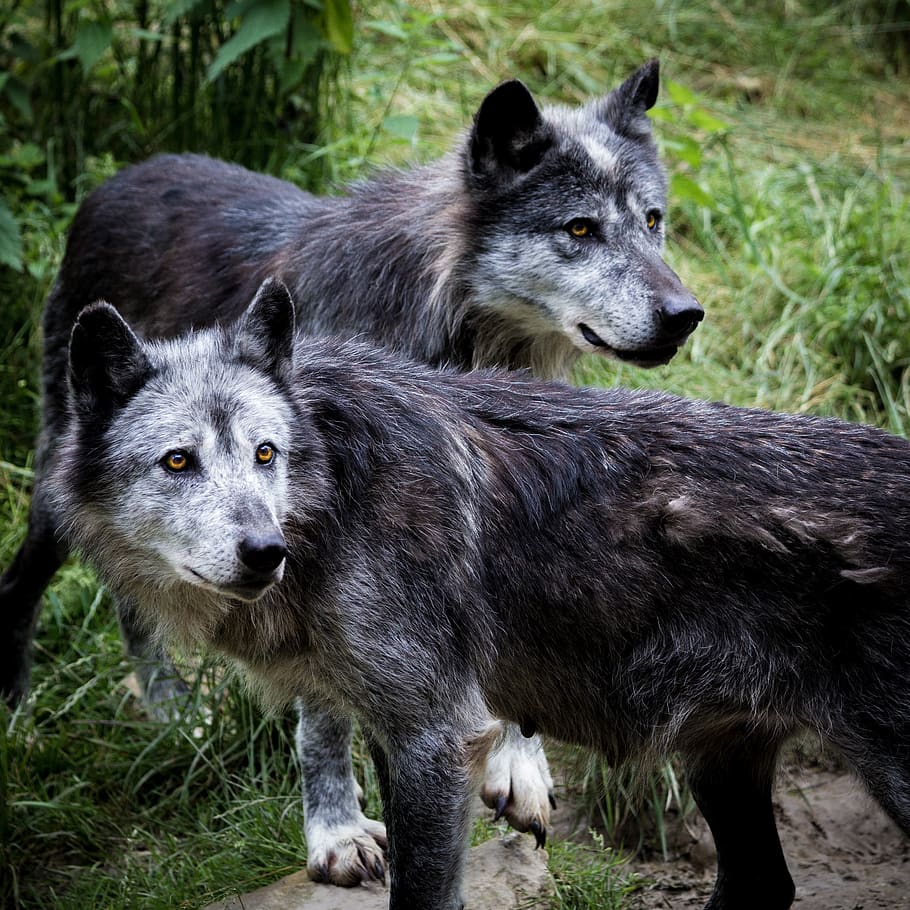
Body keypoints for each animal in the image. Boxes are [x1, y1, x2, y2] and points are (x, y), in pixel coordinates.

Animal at [1, 60, 702, 883]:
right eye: (581, 229)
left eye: (653, 220)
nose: (686, 313)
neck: (454, 334)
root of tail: (123, 175)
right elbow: (322, 717)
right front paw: (335, 832)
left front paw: (519, 764)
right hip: (67, 487)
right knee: (33, 572)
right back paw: (31, 705)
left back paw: (167, 706)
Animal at [53, 280, 910, 910]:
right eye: (178, 462)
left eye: (266, 454)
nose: (267, 553)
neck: (340, 493)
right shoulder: (383, 720)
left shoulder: (436, 737)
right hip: (720, 764)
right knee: (764, 885)